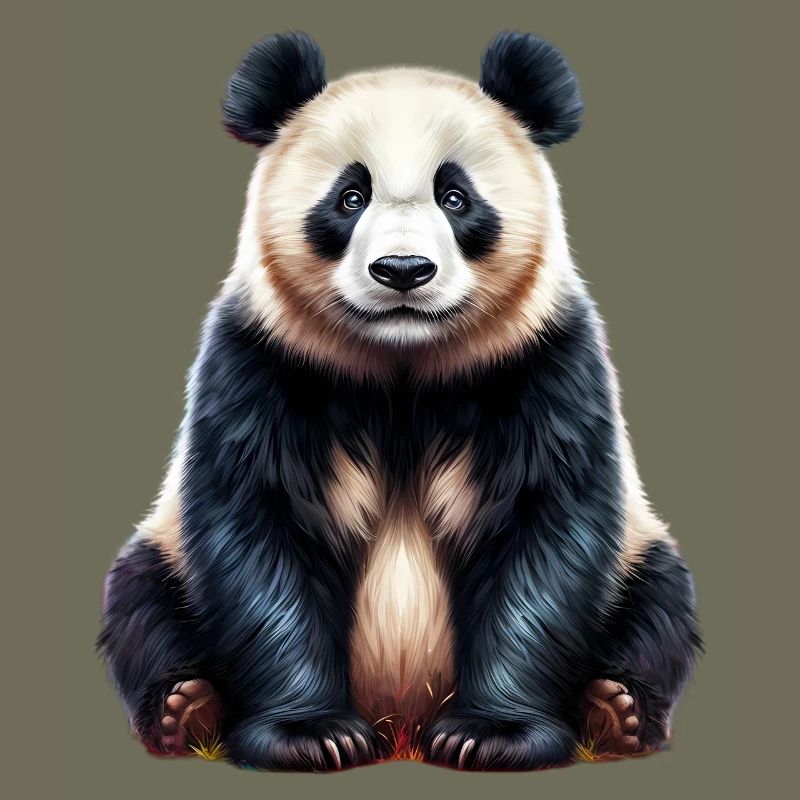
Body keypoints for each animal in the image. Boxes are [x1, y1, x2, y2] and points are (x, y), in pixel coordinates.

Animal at [98, 31, 702, 771]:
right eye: (350, 196)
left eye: (456, 197)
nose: (404, 270)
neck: (402, 364)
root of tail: (402, 721)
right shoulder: (262, 363)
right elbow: (261, 530)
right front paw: (311, 736)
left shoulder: (544, 363)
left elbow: (545, 531)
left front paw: (491, 736)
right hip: (167, 553)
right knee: (140, 601)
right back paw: (185, 708)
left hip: (637, 555)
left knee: (660, 602)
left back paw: (617, 711)